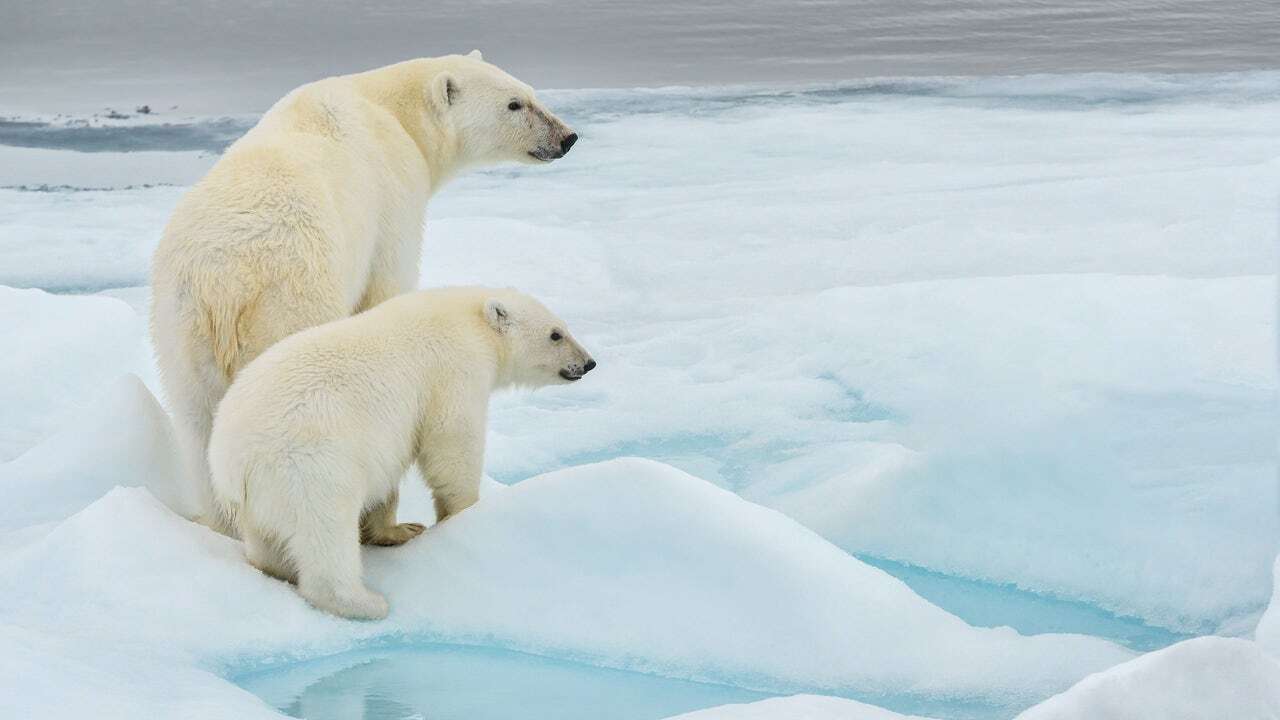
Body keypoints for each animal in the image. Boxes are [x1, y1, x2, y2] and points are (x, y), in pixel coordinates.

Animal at [151, 51, 576, 532]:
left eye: (531, 93)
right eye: (514, 104)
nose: (567, 137)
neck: (388, 107)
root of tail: (223, 284)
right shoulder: (393, 194)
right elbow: (389, 286)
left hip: (179, 329)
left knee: (198, 426)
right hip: (289, 301)